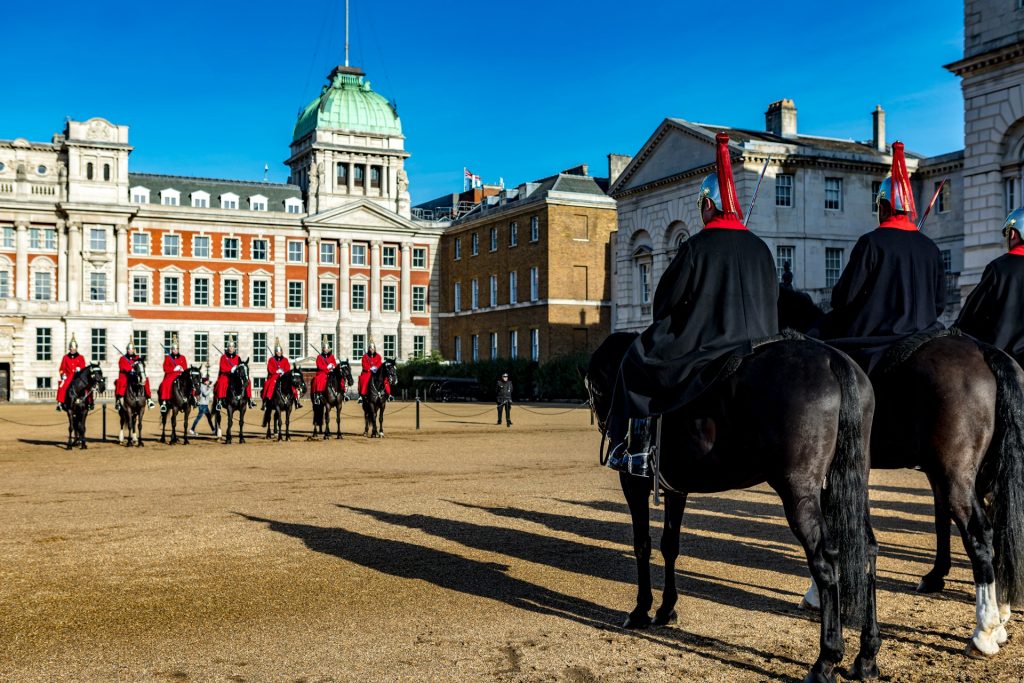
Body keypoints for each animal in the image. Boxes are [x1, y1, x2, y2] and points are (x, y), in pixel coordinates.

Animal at [585, 331, 880, 683]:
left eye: (597, 389)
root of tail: (831, 359)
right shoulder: (676, 489)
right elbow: (669, 545)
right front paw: (666, 609)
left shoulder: (634, 484)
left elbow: (642, 544)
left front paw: (641, 610)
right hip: (852, 482)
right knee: (867, 549)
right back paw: (866, 656)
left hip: (799, 493)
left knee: (825, 560)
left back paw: (825, 660)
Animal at [778, 296, 1024, 659]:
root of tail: (982, 349)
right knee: (1002, 525)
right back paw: (1001, 611)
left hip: (956, 475)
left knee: (980, 534)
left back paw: (985, 629)